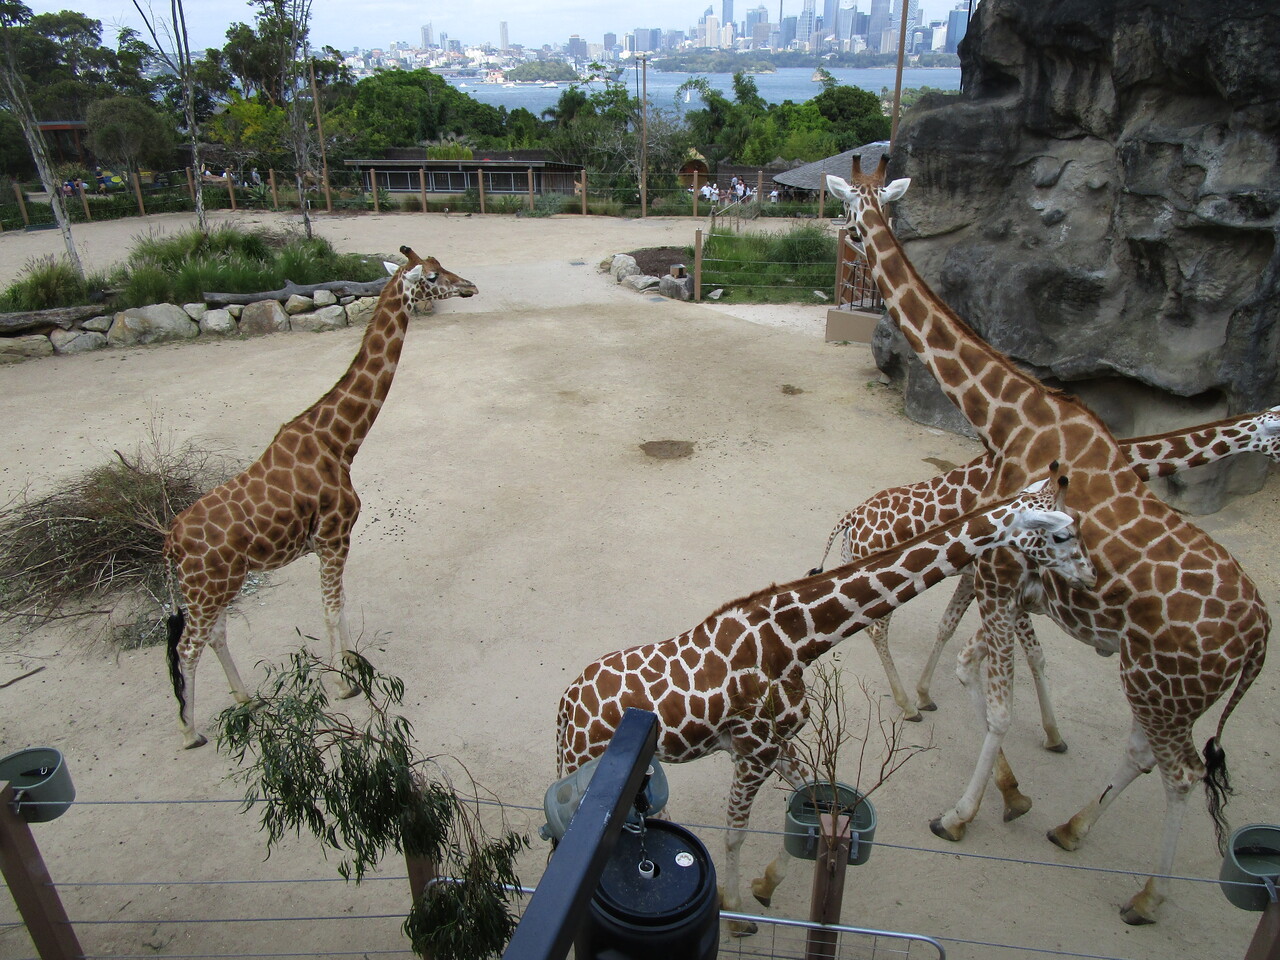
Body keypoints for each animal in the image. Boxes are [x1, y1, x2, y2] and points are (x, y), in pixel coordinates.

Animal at [162, 245, 478, 752]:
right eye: (432, 276)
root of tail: (170, 540)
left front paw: (349, 668)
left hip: (220, 583)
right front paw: (343, 684)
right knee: (188, 646)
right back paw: (190, 732)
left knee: (213, 634)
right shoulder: (333, 536)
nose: (470, 286)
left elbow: (340, 603)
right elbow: (331, 608)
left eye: (443, 266)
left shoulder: (332, 542)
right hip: (207, 586)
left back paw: (246, 699)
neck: (340, 442)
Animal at [555, 471, 1095, 936]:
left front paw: (765, 885)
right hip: (582, 763)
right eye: (1063, 535)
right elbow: (735, 833)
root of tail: (565, 705)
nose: (1090, 578)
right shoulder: (753, 751)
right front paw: (735, 914)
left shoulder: (776, 744)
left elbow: (816, 810)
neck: (797, 641)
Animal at [814, 401, 1280, 732]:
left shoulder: (977, 577)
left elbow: (949, 627)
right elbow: (1031, 654)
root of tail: (850, 520)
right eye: (1278, 432)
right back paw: (907, 707)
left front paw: (929, 693)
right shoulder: (1007, 577)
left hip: (859, 566)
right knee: (876, 630)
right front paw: (1049, 733)